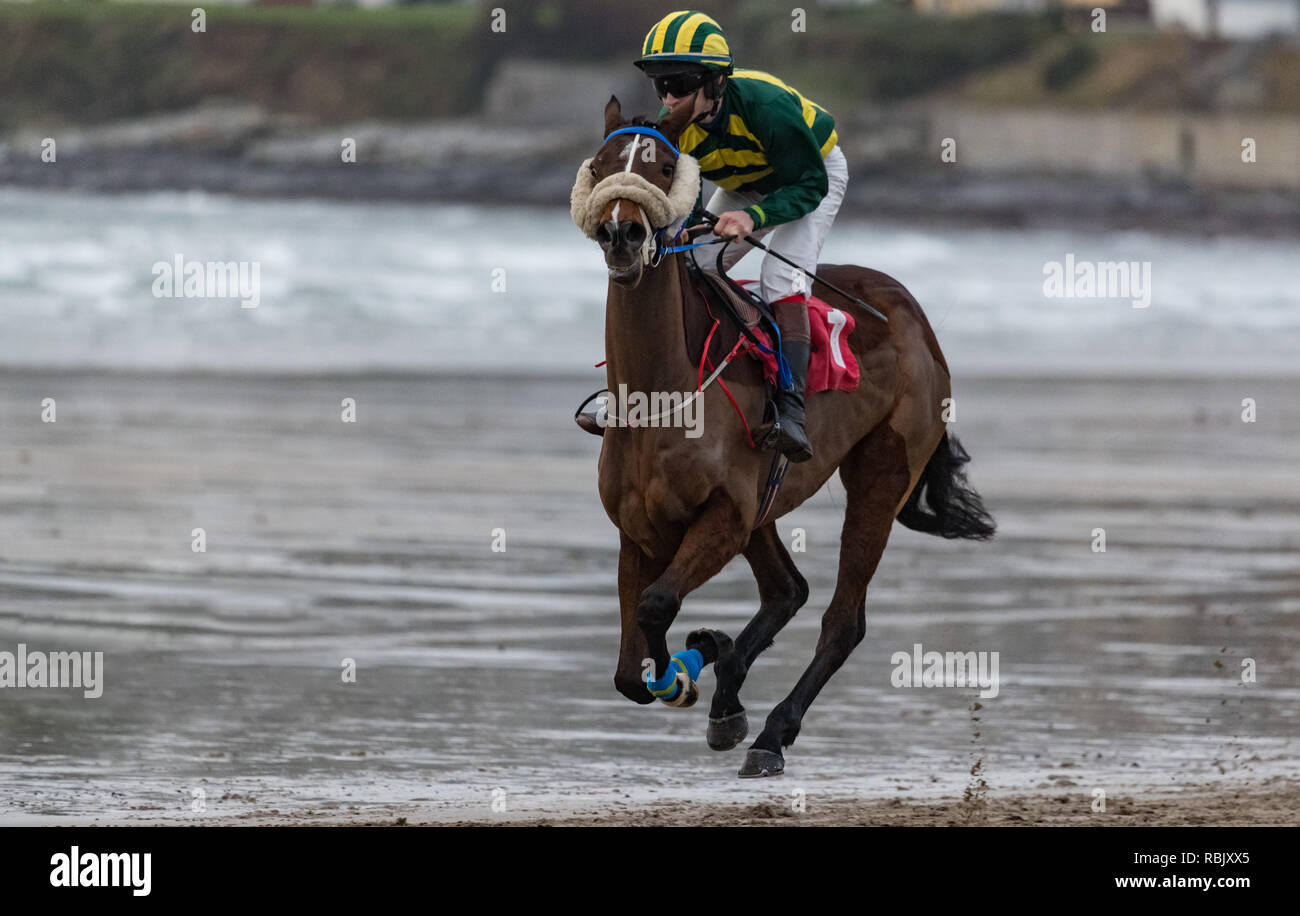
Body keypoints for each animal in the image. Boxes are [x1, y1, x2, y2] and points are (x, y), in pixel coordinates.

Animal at [574, 96, 996, 778]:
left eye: (663, 165)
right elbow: (629, 674)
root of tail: (914, 314)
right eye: (602, 163)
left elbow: (657, 608)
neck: (661, 397)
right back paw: (729, 691)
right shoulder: (640, 529)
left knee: (842, 619)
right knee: (786, 591)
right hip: (769, 509)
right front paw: (704, 660)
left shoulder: (724, 515)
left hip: (880, 477)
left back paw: (772, 732)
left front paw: (688, 671)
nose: (623, 234)